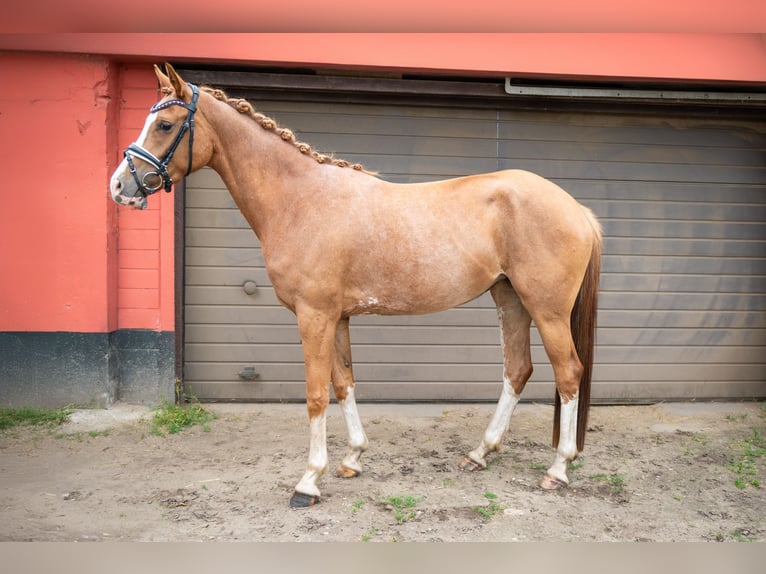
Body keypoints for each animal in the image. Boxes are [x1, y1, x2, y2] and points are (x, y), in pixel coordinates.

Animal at [109, 65, 600, 510]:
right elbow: (344, 383)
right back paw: (479, 453)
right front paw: (352, 459)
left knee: (568, 373)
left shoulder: (314, 316)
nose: (119, 186)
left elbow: (315, 394)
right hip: (509, 298)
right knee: (517, 370)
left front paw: (308, 482)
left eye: (165, 125)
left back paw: (558, 468)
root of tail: (576, 208)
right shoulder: (338, 317)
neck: (301, 200)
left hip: (547, 309)